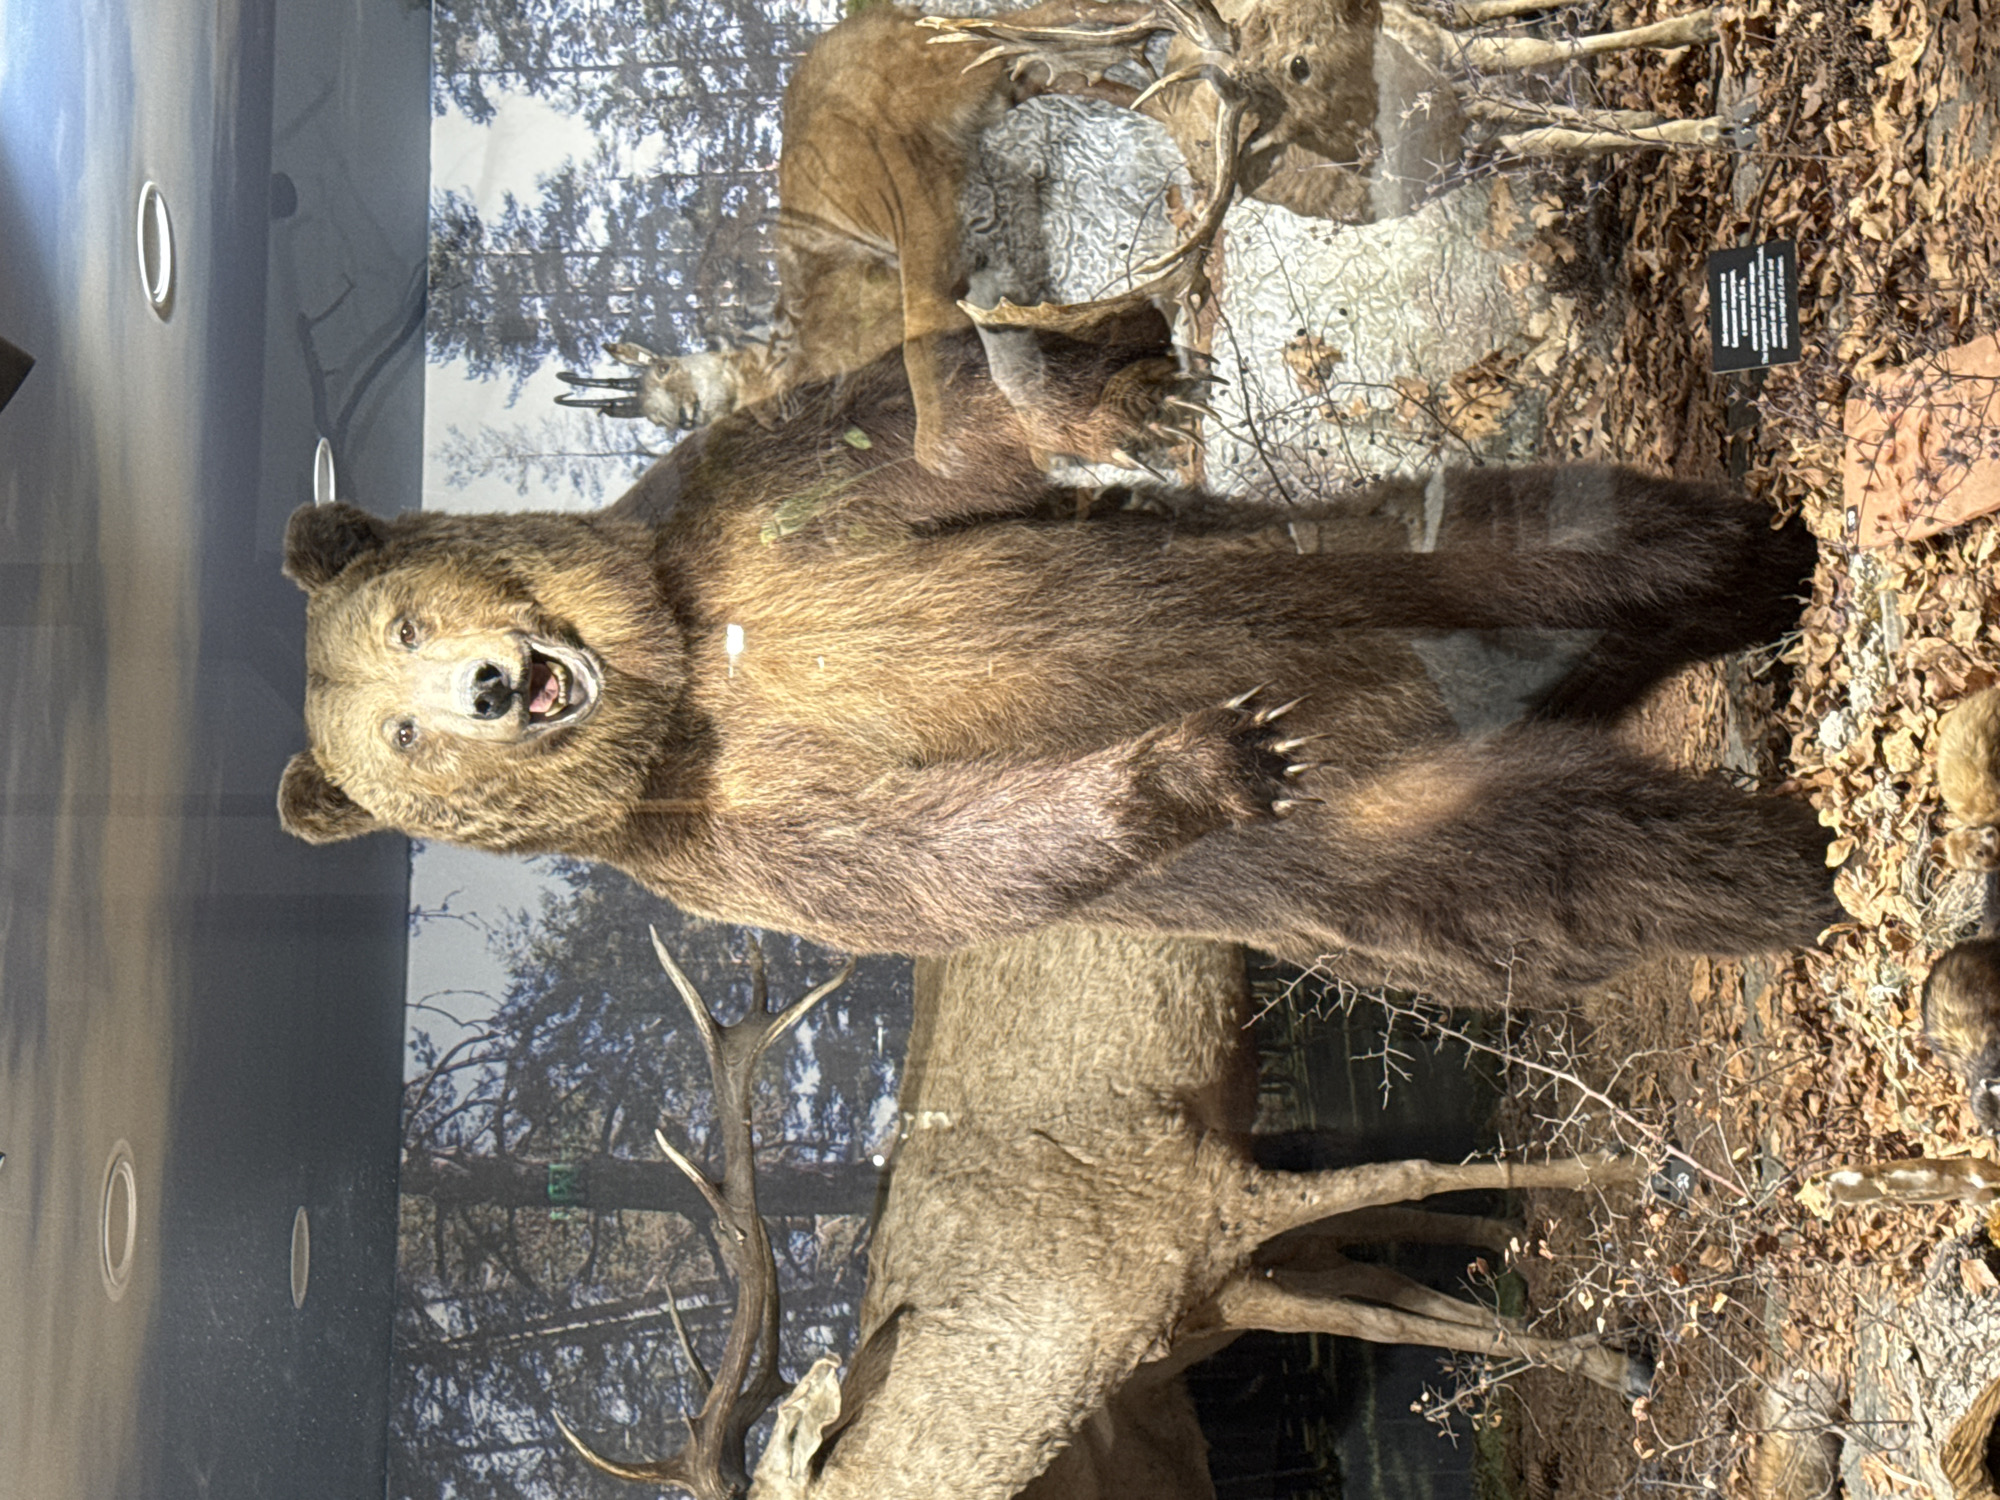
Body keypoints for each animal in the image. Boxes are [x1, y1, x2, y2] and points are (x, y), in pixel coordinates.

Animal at [279, 330, 1833, 1005]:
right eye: (397, 735)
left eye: (402, 626)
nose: (489, 686)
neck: (681, 669)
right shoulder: (727, 831)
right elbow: (940, 849)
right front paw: (1205, 758)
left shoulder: (743, 523)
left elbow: (918, 431)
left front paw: (1125, 388)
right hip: (1376, 836)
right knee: (1582, 852)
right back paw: (1804, 872)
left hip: (1376, 558)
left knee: (1591, 535)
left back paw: (1772, 557)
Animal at [555, 927, 1656, 1500]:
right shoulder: (1219, 1288)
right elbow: (1387, 1302)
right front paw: (1542, 1287)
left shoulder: (1202, 1191)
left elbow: (1408, 1187)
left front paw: (1625, 1218)